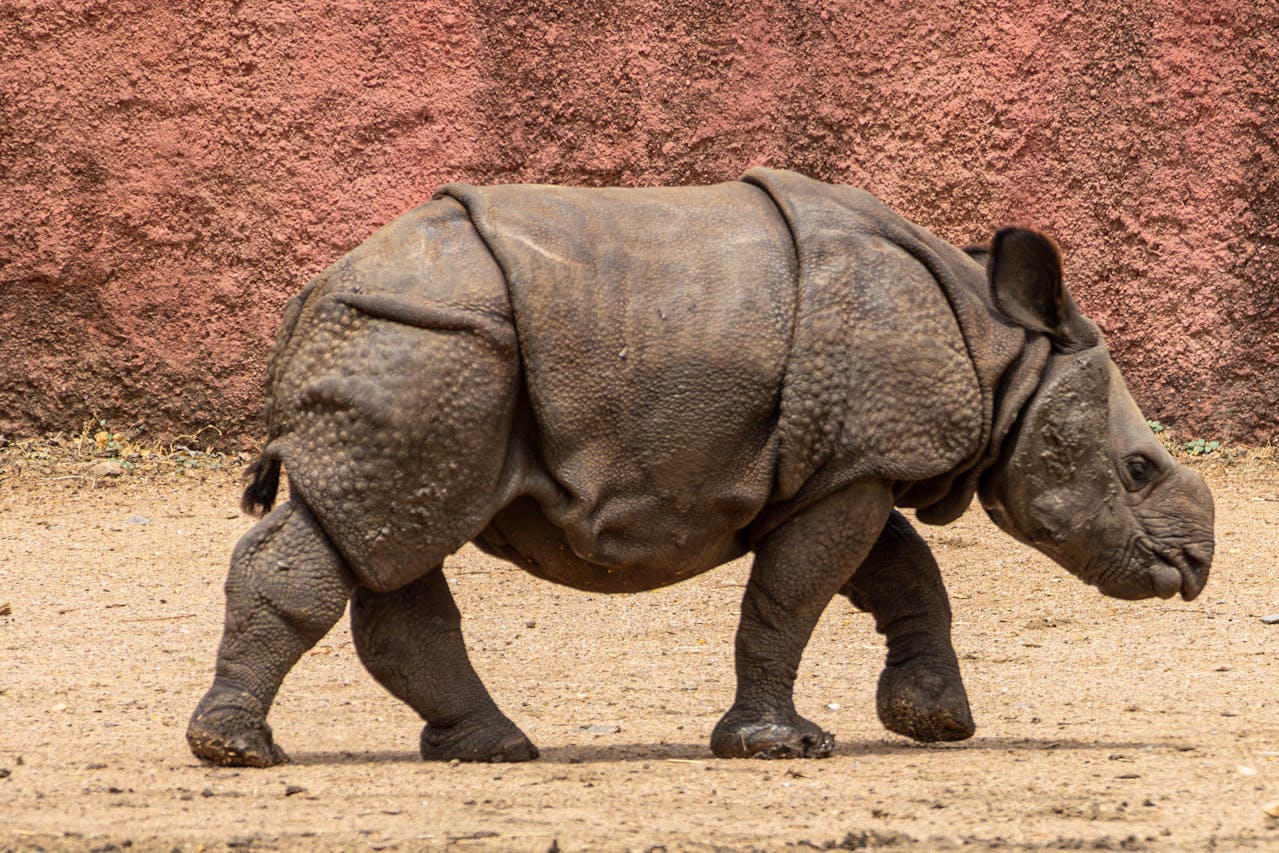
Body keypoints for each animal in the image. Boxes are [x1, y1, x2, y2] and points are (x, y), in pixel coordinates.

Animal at [188, 168, 1214, 766]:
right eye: (1137, 467)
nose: (1197, 563)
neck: (1003, 352)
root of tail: (312, 295)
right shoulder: (858, 459)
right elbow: (793, 597)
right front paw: (782, 745)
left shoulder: (850, 458)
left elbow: (903, 574)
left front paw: (937, 723)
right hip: (429, 342)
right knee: (371, 532)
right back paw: (240, 752)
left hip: (426, 352)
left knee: (392, 537)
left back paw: (491, 749)